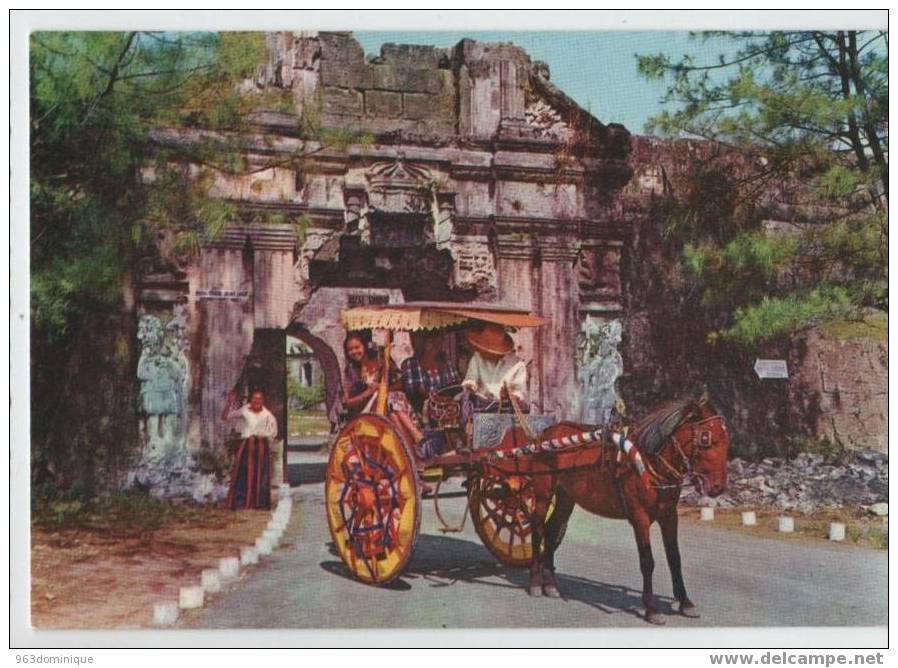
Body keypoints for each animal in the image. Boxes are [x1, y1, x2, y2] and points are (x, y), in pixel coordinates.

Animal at [524, 394, 728, 624]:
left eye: (727, 439)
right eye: (706, 439)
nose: (718, 487)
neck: (648, 463)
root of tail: (546, 434)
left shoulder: (669, 516)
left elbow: (675, 558)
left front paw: (685, 602)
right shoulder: (640, 518)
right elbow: (647, 561)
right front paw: (651, 608)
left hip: (566, 496)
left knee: (551, 530)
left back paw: (550, 583)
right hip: (543, 493)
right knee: (537, 530)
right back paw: (535, 582)